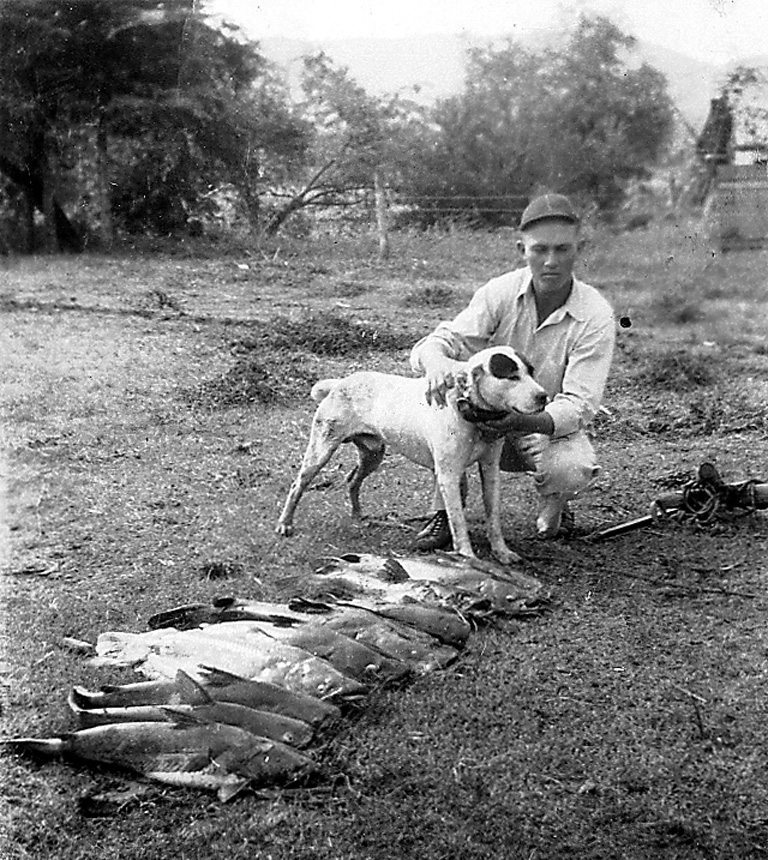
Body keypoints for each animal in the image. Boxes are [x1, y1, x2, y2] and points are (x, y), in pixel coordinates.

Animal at [274, 346, 544, 568]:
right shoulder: (448, 475)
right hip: (320, 450)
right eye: (510, 376)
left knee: (352, 480)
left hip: (373, 455)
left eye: (531, 372)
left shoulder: (490, 470)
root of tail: (341, 382)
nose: (543, 396)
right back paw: (285, 524)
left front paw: (502, 552)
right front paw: (468, 557)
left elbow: (493, 518)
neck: (471, 414)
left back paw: (358, 515)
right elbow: (458, 524)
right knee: (297, 486)